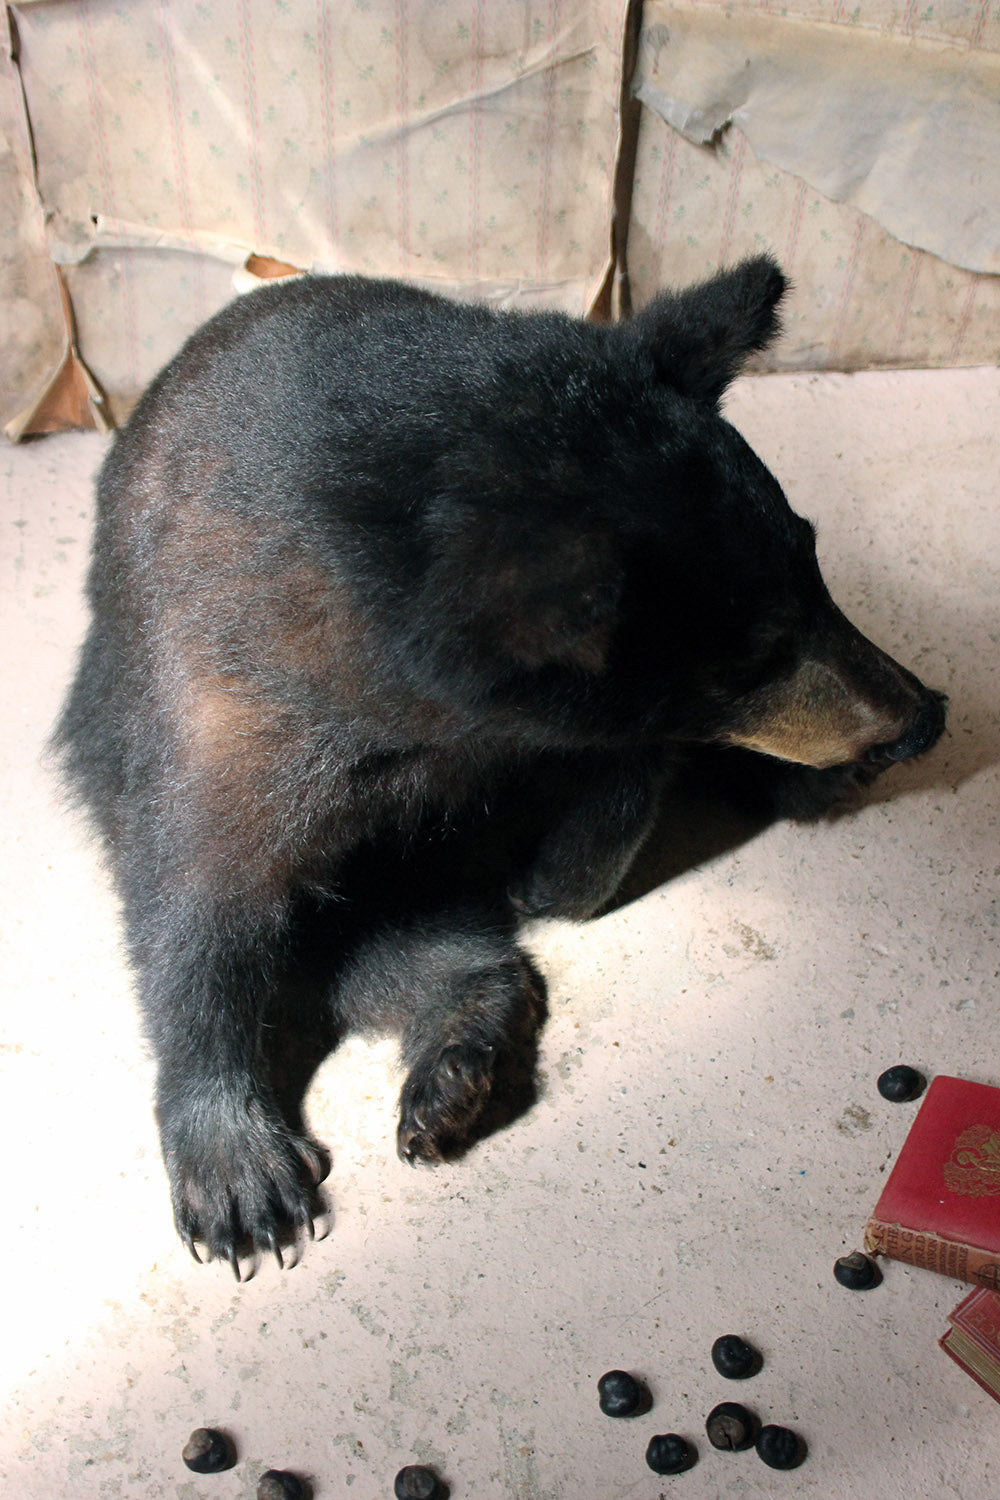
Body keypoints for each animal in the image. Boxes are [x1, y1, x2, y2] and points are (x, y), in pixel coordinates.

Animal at [53, 257, 945, 1276]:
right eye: (749, 660)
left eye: (813, 557)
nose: (922, 717)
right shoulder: (221, 704)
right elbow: (198, 911)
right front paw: (234, 1169)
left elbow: (592, 824)